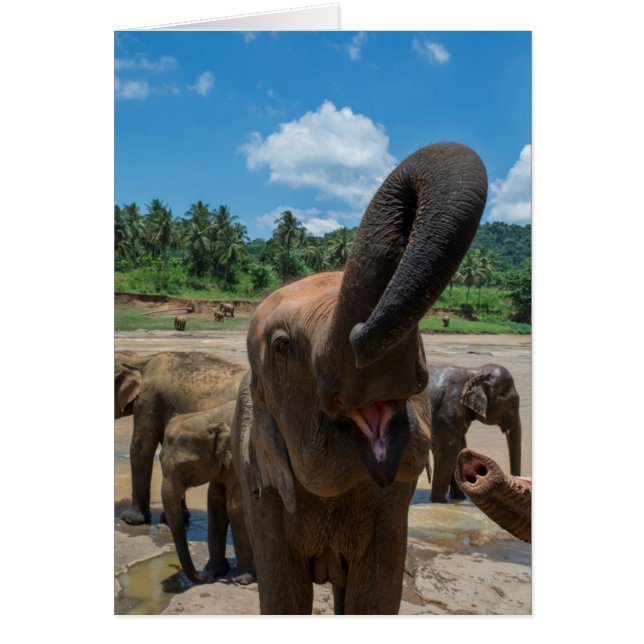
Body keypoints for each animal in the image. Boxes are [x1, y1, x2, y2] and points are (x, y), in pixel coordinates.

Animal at [159, 401, 255, 584]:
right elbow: (215, 504)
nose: (205, 577)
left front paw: (239, 579)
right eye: (159, 462)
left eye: (186, 468)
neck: (210, 417)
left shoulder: (237, 461)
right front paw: (215, 571)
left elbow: (235, 508)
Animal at [425, 363, 522, 503]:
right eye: (512, 403)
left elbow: (460, 448)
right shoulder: (446, 411)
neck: (474, 372)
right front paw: (439, 502)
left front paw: (459, 498)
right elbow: (447, 452)